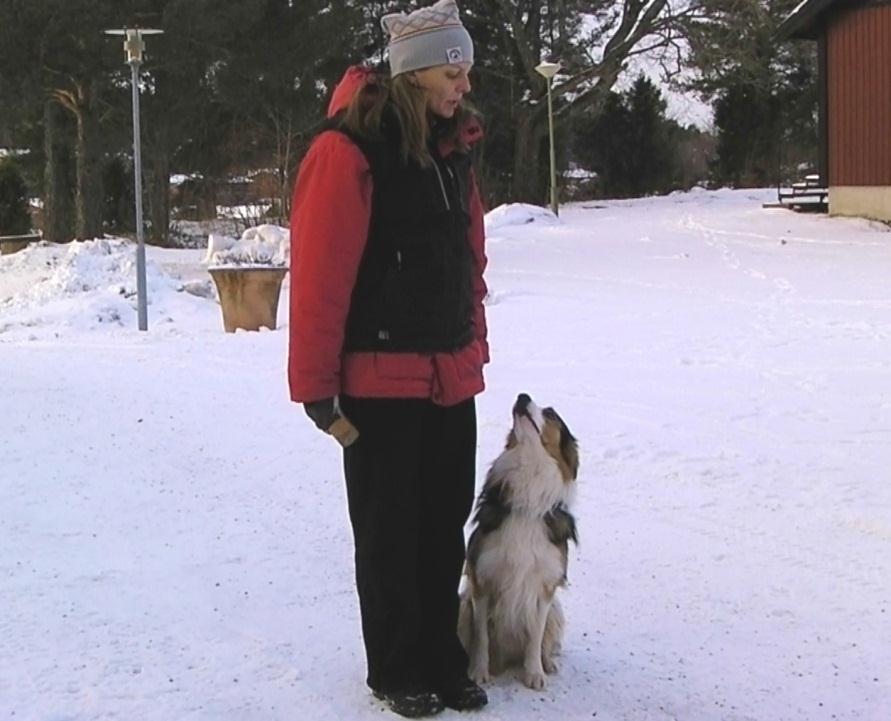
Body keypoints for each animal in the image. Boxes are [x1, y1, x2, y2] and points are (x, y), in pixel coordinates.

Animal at [460, 390, 580, 688]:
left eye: (551, 413)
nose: (522, 396)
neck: (528, 500)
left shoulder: (544, 587)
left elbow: (535, 636)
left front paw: (534, 673)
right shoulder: (482, 581)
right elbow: (481, 636)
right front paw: (478, 671)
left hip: (556, 610)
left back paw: (547, 663)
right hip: (463, 604)